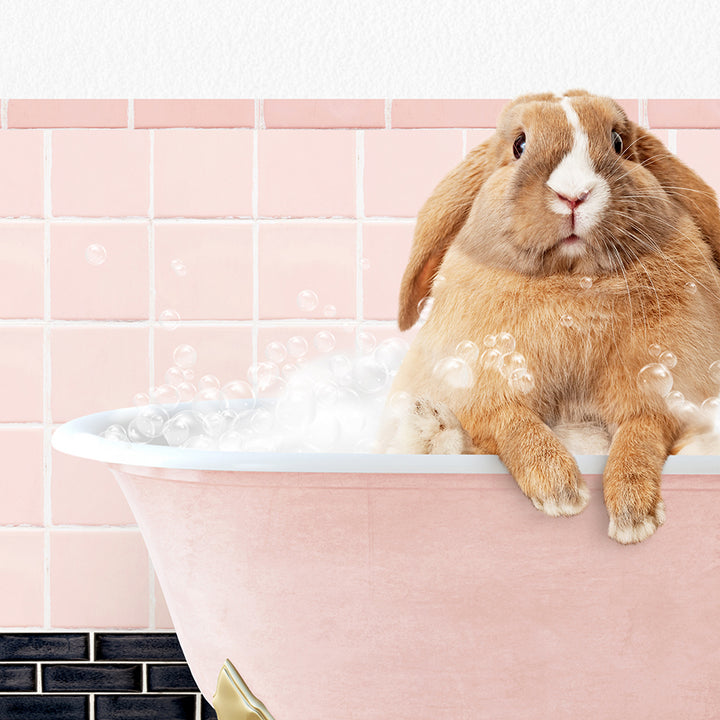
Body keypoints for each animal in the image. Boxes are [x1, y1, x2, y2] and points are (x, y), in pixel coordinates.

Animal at [376, 90, 720, 544]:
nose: (574, 195)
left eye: (618, 143)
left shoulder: (660, 392)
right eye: (519, 145)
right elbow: (512, 421)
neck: (572, 283)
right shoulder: (483, 386)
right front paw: (561, 492)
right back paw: (430, 423)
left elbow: (640, 434)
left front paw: (633, 516)